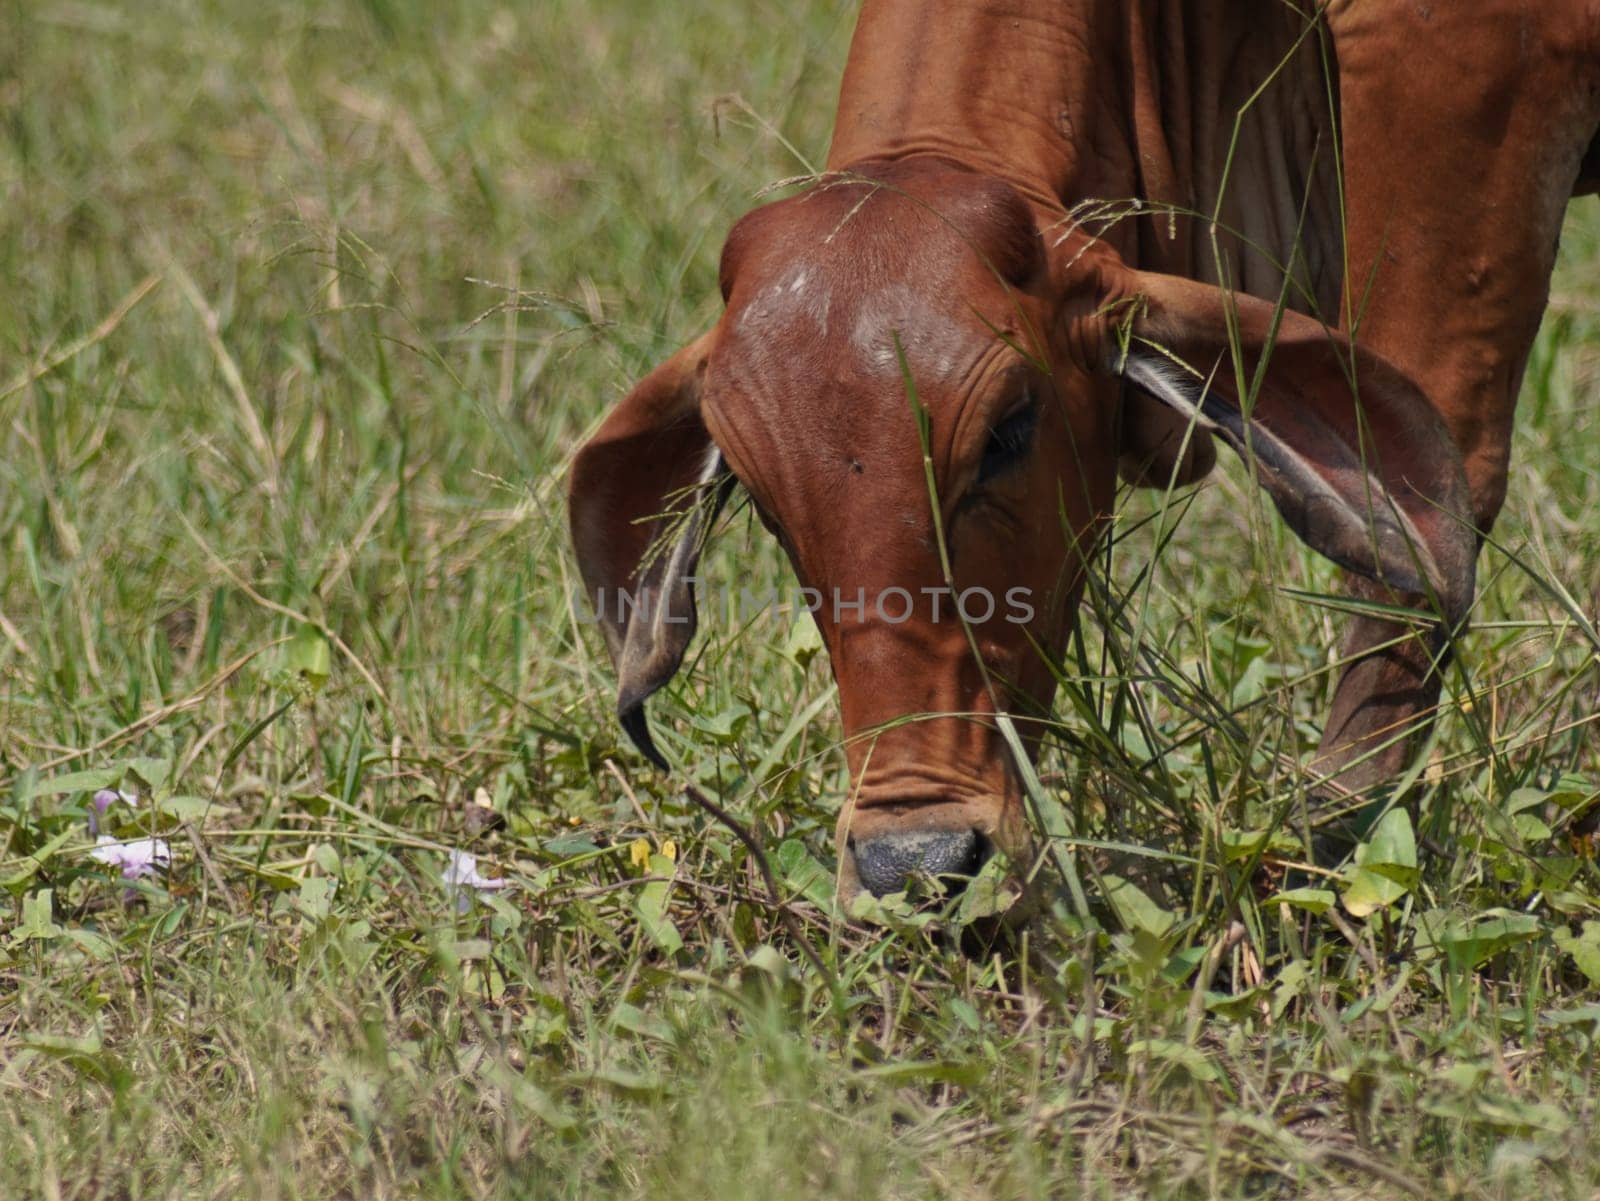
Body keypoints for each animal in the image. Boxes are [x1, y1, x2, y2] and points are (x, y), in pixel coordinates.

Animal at [569, 0, 1593, 901]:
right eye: (762, 499)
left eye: (1008, 431)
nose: (915, 866)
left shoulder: (1469, 62)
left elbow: (1432, 494)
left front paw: (1334, 846)